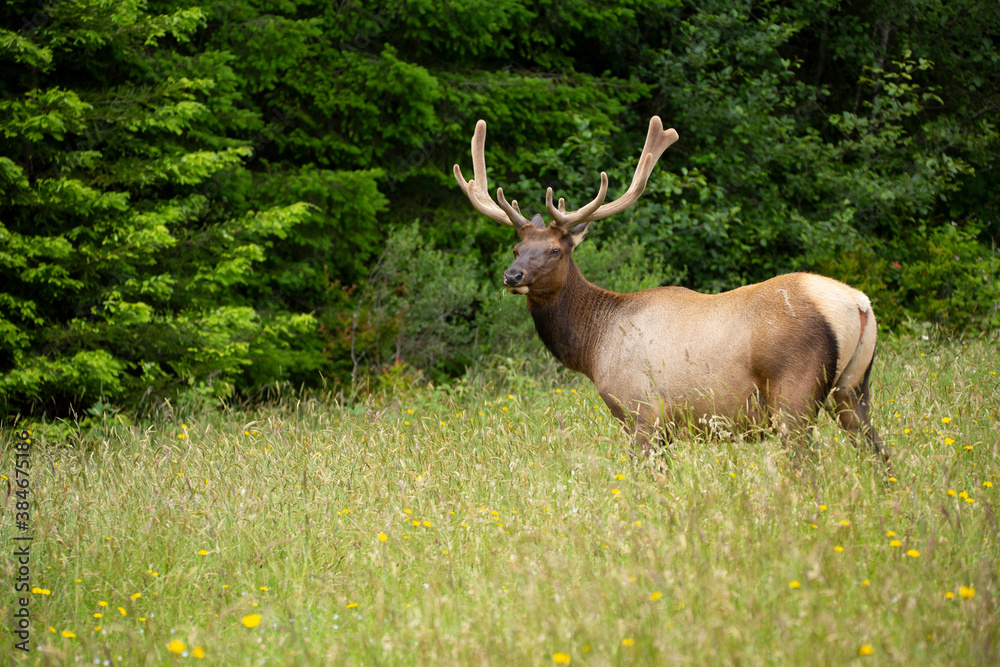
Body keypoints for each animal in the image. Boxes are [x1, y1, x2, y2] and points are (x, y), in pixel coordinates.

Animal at [450, 116, 888, 464]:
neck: (593, 348)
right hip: (852, 388)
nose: (512, 276)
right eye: (516, 248)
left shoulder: (642, 413)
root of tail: (858, 303)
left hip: (794, 392)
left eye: (555, 250)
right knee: (878, 453)